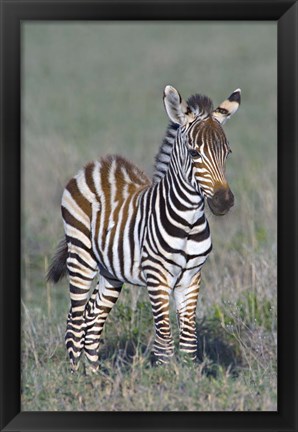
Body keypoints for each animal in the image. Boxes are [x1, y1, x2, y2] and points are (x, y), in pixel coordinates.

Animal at [47, 85, 241, 372]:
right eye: (195, 153)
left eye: (227, 153)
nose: (223, 201)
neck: (188, 222)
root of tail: (96, 164)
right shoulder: (157, 275)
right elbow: (164, 339)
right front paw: (167, 377)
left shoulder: (192, 277)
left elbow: (188, 341)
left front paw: (188, 377)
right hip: (81, 256)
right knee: (76, 319)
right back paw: (74, 378)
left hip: (111, 271)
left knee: (93, 317)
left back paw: (93, 375)